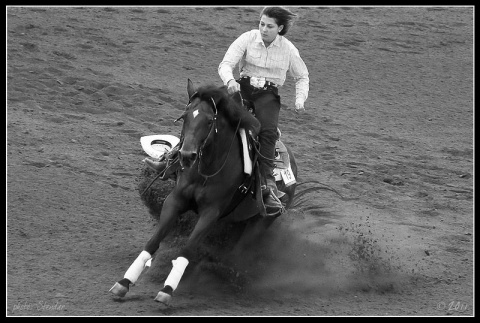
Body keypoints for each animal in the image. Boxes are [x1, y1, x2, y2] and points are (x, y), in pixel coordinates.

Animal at [109, 79, 296, 306]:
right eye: (184, 117)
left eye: (209, 121)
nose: (186, 155)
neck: (206, 169)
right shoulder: (175, 200)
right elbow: (154, 241)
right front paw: (124, 282)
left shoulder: (211, 213)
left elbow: (188, 248)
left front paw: (168, 289)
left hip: (260, 224)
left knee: (239, 251)